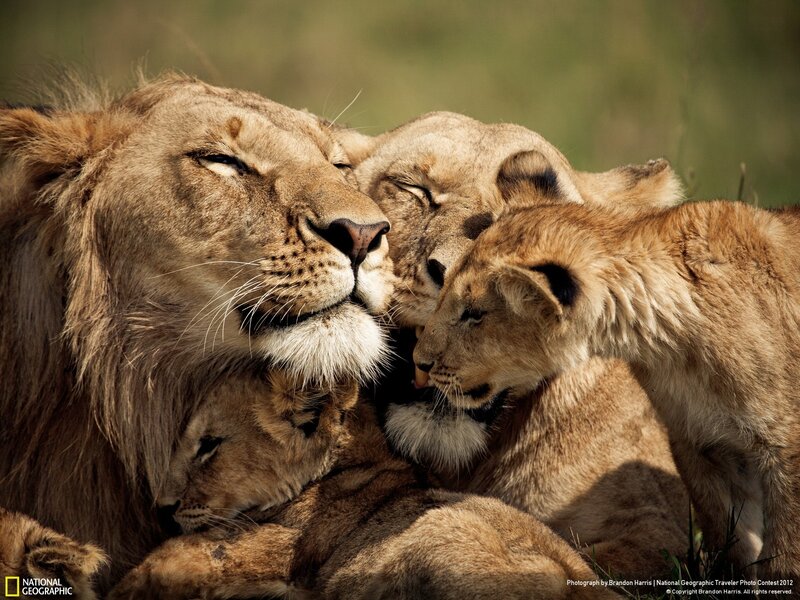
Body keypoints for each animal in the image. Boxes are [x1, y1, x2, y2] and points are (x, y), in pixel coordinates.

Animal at [414, 200, 800, 580]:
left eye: (474, 313)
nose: (419, 363)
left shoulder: (784, 449)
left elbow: (785, 555)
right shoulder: (700, 440)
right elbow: (730, 537)